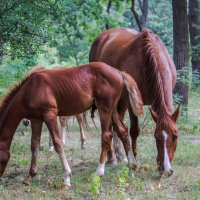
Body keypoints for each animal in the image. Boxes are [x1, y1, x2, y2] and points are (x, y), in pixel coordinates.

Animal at [0, 62, 144, 188]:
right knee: (122, 130)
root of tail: (118, 72)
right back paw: (132, 164)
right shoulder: (36, 119)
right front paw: (30, 176)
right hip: (112, 110)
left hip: (104, 109)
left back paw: (99, 171)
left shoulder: (50, 115)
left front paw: (67, 178)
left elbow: (58, 143)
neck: (30, 90)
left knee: (107, 135)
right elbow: (34, 144)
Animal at [90, 28, 180, 177]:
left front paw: (158, 163)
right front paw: (135, 160)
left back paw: (120, 155)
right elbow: (134, 131)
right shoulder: (134, 104)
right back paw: (112, 157)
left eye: (175, 136)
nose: (167, 170)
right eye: (156, 137)